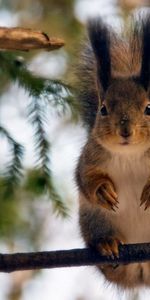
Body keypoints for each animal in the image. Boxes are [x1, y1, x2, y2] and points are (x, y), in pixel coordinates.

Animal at [75, 14, 150, 288]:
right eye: (103, 109)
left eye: (149, 108)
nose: (125, 131)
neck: (129, 155)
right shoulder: (90, 156)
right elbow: (84, 178)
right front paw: (102, 190)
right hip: (94, 219)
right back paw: (107, 245)